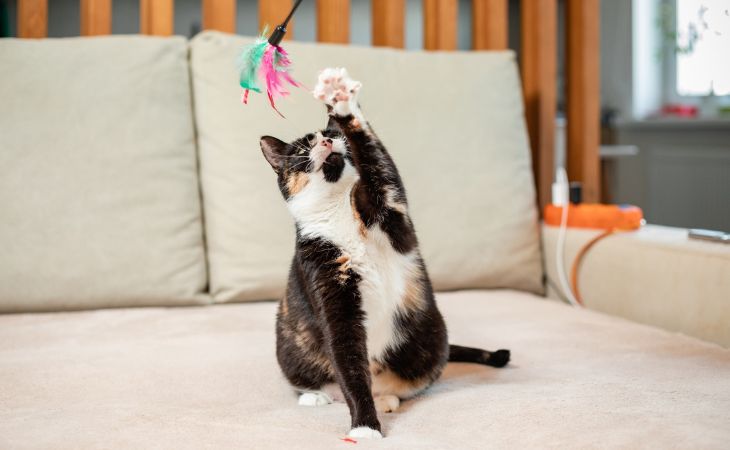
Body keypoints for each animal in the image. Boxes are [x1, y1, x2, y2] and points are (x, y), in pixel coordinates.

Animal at [258, 68, 510, 438]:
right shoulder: (328, 289)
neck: (340, 212)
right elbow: (348, 363)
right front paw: (365, 427)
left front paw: (342, 102)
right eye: (303, 148)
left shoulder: (390, 210)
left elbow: (378, 160)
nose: (326, 141)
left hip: (432, 340)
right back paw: (315, 396)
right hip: (289, 343)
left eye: (331, 134)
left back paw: (386, 398)